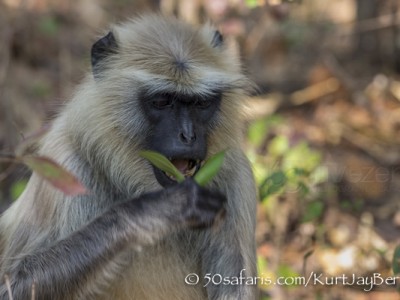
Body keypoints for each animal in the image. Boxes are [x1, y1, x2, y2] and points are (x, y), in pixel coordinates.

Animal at [0, 14, 256, 300]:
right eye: (162, 101)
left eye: (201, 103)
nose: (188, 135)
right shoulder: (66, 164)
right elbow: (13, 285)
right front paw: (159, 209)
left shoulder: (237, 177)